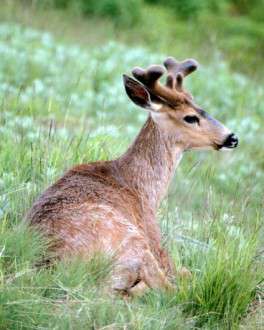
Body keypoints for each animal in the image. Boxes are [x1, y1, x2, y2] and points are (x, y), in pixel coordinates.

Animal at [27, 56, 239, 296]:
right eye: (190, 117)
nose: (232, 137)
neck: (143, 188)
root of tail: (51, 264)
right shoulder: (155, 239)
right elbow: (182, 273)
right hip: (133, 241)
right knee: (167, 288)